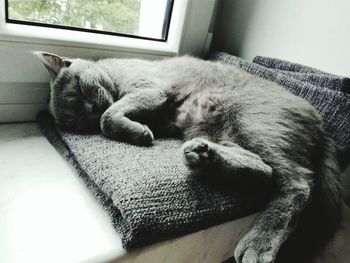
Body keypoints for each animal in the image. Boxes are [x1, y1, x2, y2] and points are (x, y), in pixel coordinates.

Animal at [34, 52, 342, 263]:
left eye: (80, 89)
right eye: (77, 120)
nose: (90, 109)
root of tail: (320, 123)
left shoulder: (149, 89)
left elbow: (109, 118)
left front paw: (136, 131)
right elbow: (110, 119)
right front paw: (138, 130)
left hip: (252, 122)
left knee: (297, 184)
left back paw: (258, 243)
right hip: (220, 129)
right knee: (265, 170)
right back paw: (203, 156)